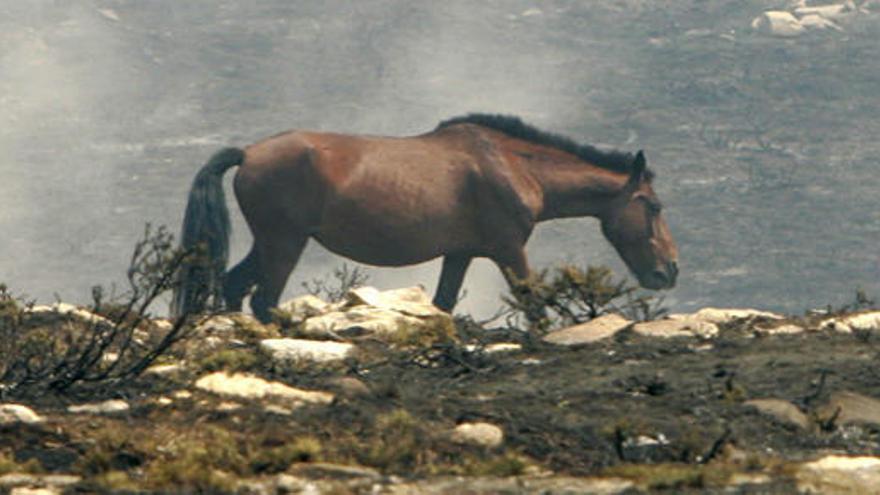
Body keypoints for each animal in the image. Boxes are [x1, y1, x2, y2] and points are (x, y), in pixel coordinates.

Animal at [172, 113, 680, 322]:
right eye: (653, 206)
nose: (669, 271)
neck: (510, 164)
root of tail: (248, 153)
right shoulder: (508, 249)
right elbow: (533, 304)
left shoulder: (461, 254)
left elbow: (443, 304)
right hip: (285, 242)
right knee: (263, 299)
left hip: (271, 242)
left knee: (235, 286)